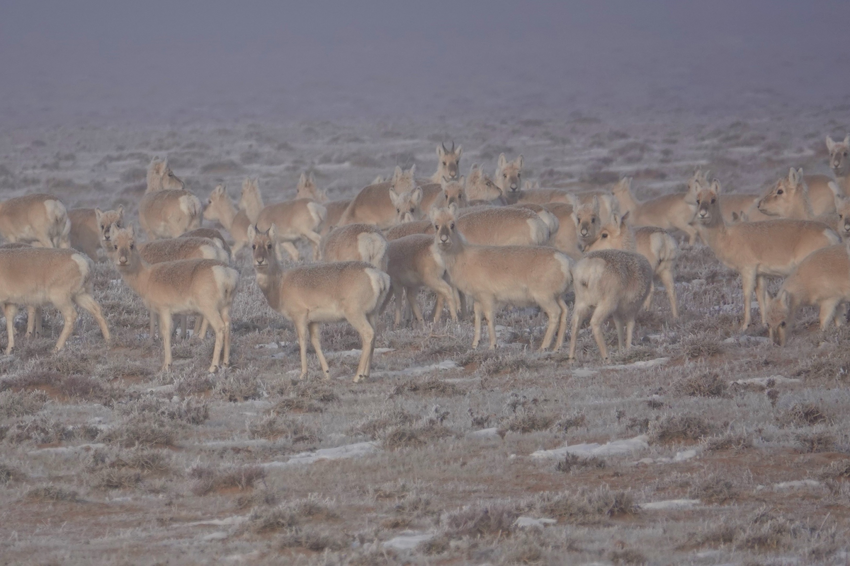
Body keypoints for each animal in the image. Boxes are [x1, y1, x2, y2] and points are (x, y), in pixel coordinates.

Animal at [108, 229, 238, 374]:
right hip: (225, 308)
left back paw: (213, 366)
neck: (148, 275)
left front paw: (166, 365)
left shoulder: (164, 311)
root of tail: (225, 272)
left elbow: (166, 332)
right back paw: (225, 363)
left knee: (220, 328)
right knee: (227, 326)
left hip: (210, 310)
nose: (122, 260)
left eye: (131, 245)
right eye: (115, 245)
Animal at [247, 225, 390, 382]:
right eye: (253, 245)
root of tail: (375, 274)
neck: (281, 283)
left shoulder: (299, 318)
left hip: (355, 315)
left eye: (269, 245)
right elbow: (316, 342)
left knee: (368, 334)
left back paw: (357, 376)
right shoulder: (313, 322)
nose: (260, 261)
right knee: (374, 336)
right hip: (372, 314)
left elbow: (302, 340)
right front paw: (327, 373)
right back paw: (366, 374)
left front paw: (303, 374)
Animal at [430, 206, 568, 352]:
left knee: (555, 313)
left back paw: (543, 346)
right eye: (436, 225)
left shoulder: (487, 298)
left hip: (545, 299)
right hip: (557, 297)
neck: (465, 256)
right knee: (564, 311)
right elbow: (477, 317)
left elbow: (489, 317)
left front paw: (492, 345)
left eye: (452, 224)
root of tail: (564, 261)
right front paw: (475, 343)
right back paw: (557, 346)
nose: (443, 239)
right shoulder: (477, 300)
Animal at [692, 176, 840, 328]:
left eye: (713, 199)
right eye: (698, 200)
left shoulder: (748, 270)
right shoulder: (760, 275)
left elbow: (747, 295)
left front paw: (744, 326)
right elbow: (761, 296)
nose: (702, 214)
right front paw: (764, 323)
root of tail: (828, 232)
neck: (728, 235)